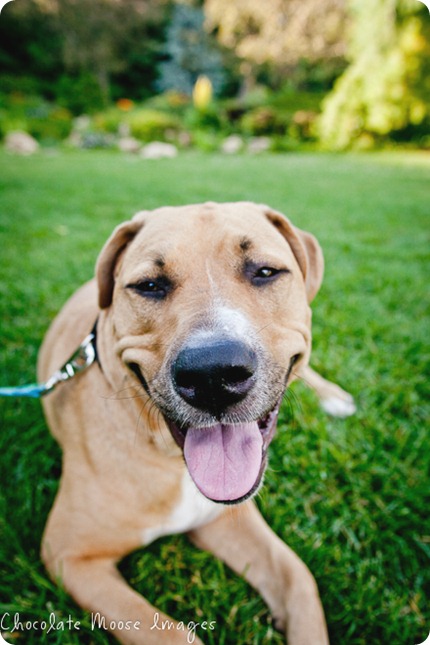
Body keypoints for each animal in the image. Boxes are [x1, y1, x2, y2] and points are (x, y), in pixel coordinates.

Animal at [38, 199, 354, 640]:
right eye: (149, 285)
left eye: (265, 271)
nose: (213, 375)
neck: (171, 458)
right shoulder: (71, 555)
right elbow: (170, 633)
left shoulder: (228, 518)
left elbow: (299, 579)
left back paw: (335, 397)